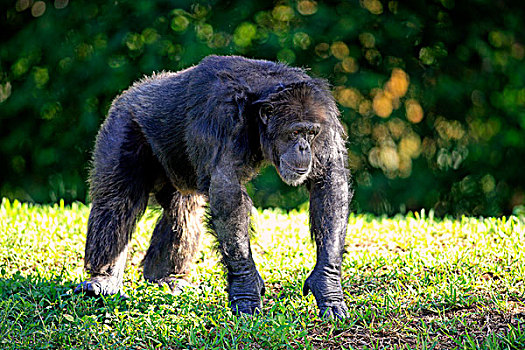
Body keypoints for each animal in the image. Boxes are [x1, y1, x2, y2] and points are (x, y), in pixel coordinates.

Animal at [73, 54, 350, 318]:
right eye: (294, 132)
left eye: (311, 133)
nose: (303, 147)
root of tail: (131, 90)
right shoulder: (222, 116)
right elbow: (226, 190)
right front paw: (246, 288)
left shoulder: (325, 116)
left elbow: (328, 179)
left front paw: (327, 285)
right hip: (122, 124)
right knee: (117, 200)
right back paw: (103, 279)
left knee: (182, 211)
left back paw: (166, 277)